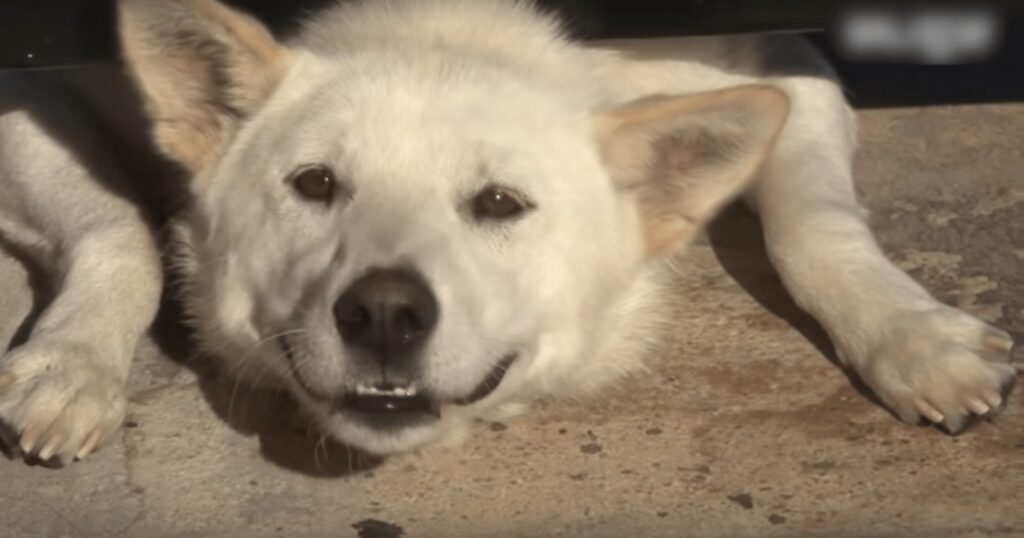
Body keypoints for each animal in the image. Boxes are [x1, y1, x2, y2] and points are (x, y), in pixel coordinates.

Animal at [0, 0, 1011, 461]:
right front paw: (72, 363)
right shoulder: (29, 79)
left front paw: (915, 336)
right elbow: (121, 229)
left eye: (498, 204)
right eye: (315, 184)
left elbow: (813, 222)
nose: (383, 314)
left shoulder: (785, 56)